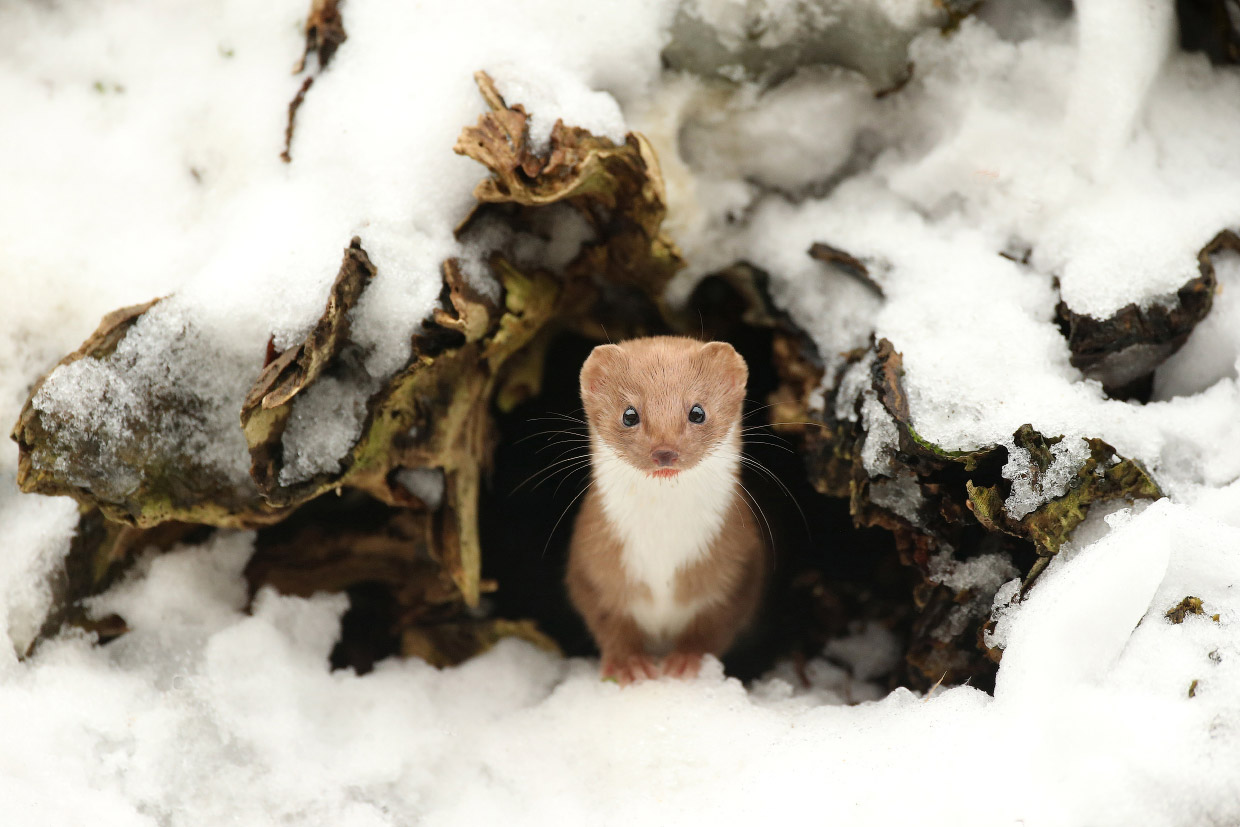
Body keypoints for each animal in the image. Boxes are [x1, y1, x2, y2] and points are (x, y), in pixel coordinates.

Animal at [565, 337, 758, 684]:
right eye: (629, 414)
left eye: (697, 411)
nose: (664, 451)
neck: (662, 546)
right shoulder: (590, 563)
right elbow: (607, 618)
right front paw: (630, 664)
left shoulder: (738, 569)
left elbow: (714, 625)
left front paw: (685, 661)